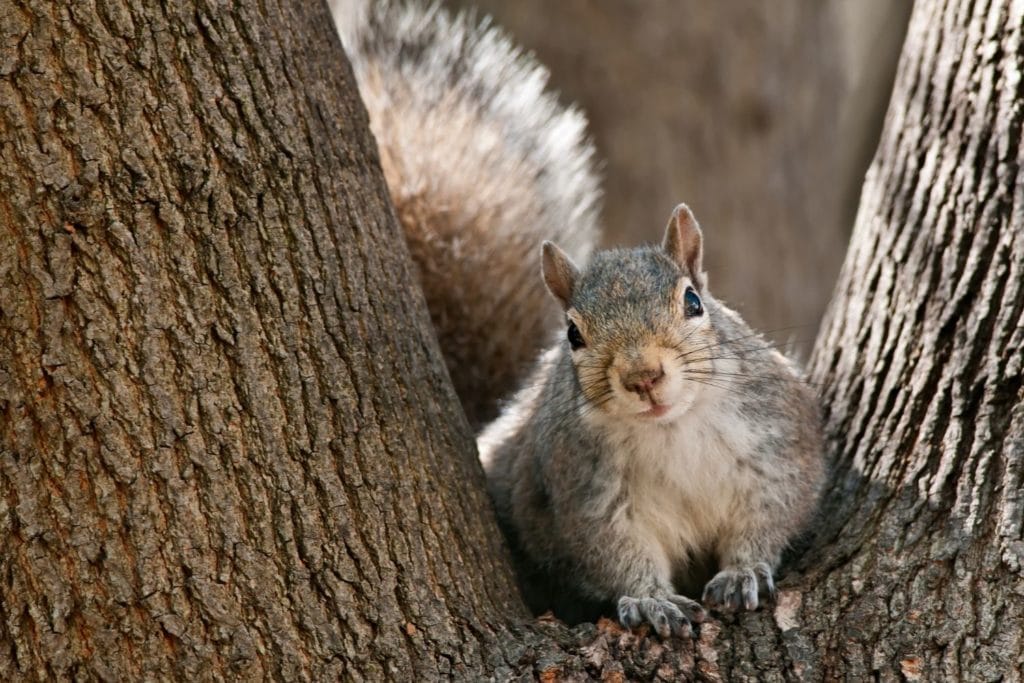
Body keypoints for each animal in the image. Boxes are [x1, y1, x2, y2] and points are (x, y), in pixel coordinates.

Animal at [478, 205, 825, 636]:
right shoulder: (587, 493)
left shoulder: (777, 447)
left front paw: (743, 571)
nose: (642, 376)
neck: (670, 426)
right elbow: (616, 551)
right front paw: (650, 600)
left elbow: (772, 511)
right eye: (573, 334)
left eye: (693, 301)